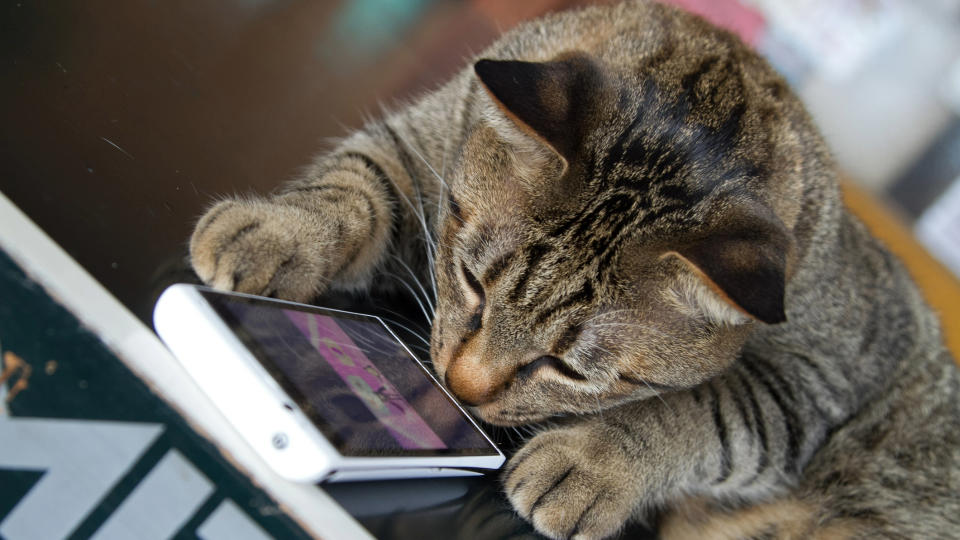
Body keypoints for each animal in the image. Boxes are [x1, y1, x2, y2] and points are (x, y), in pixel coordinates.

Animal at [189, 2, 960, 536]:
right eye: (472, 283)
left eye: (568, 369)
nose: (459, 388)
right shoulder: (420, 144)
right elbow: (357, 181)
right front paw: (280, 230)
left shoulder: (813, 384)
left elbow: (699, 410)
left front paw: (591, 461)